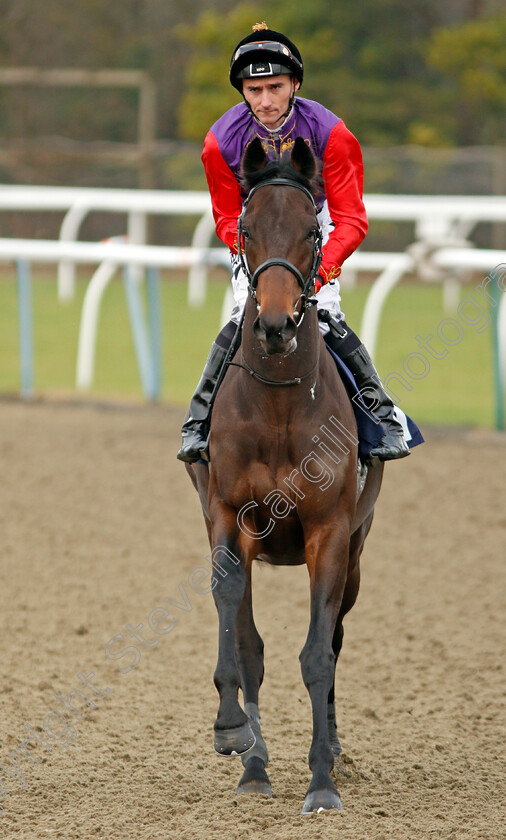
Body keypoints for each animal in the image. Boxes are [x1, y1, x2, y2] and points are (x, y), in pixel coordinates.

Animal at [186, 136, 384, 812]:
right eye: (246, 229)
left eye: (310, 230)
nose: (273, 325)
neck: (277, 406)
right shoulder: (228, 517)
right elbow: (244, 641)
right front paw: (236, 738)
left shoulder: (329, 532)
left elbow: (318, 654)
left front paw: (322, 780)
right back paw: (254, 759)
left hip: (356, 552)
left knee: (338, 639)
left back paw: (336, 751)